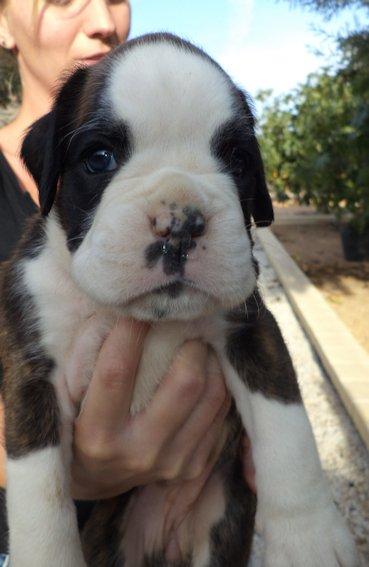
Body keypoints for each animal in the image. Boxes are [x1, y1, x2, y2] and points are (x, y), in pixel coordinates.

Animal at [0, 33, 356, 564]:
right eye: (99, 158)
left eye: (236, 160)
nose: (180, 222)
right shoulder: (32, 374)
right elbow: (39, 493)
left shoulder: (251, 333)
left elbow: (287, 432)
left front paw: (308, 536)